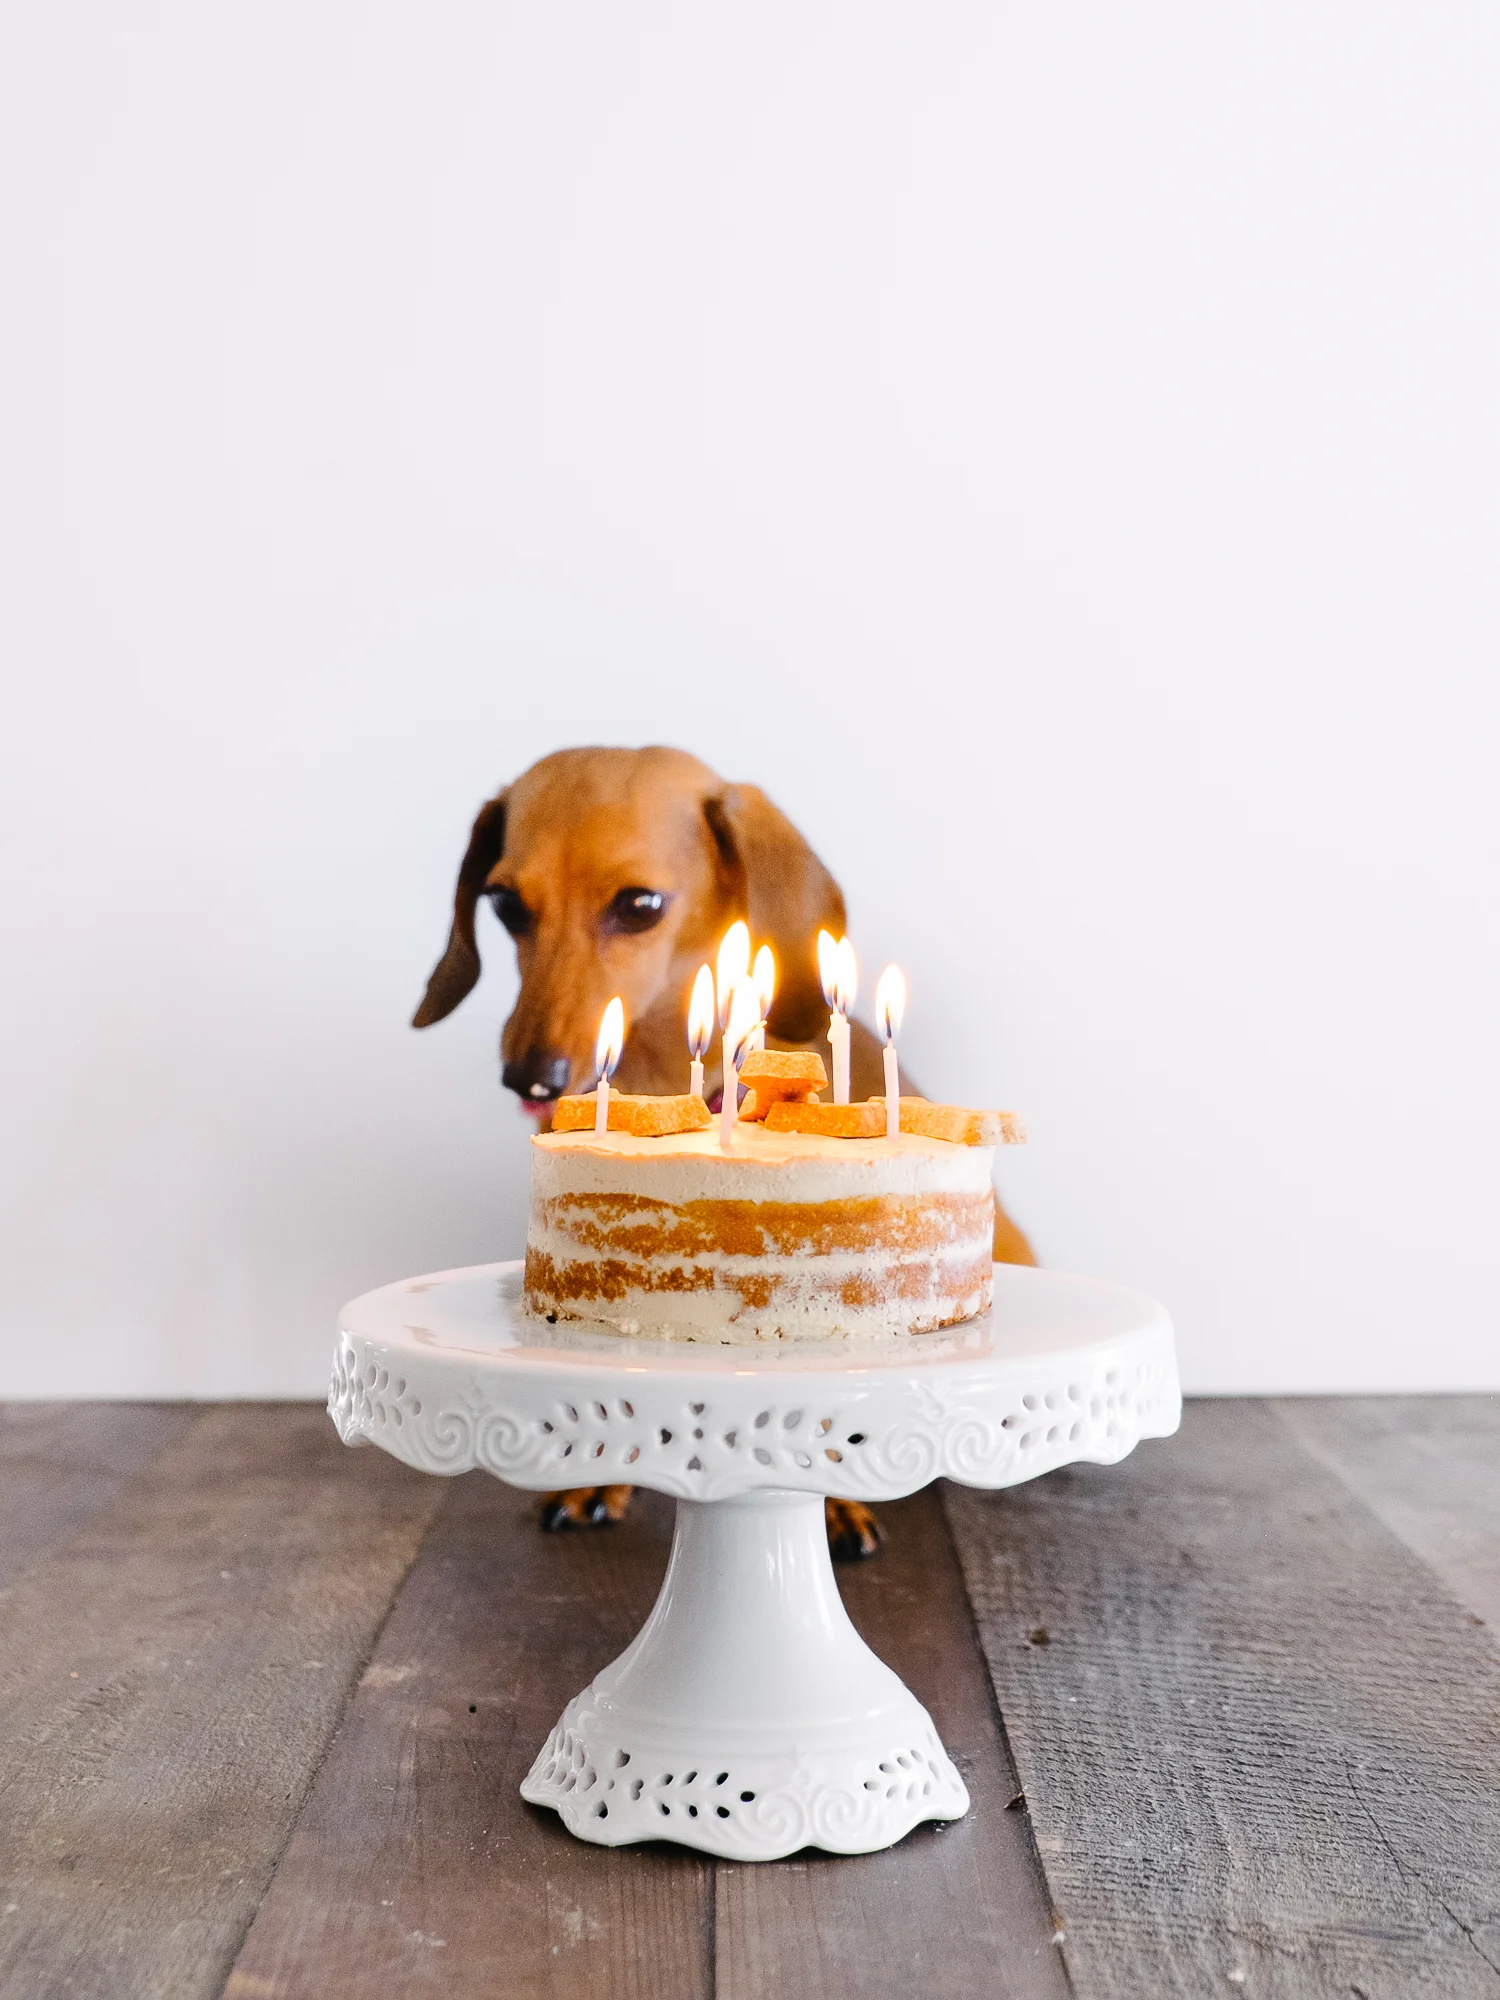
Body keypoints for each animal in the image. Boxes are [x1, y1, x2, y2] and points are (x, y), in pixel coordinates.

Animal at [418, 744, 1040, 1552]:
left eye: (639, 906)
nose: (530, 1076)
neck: (656, 1068)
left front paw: (834, 1496)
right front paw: (601, 1475)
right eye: (503, 904)